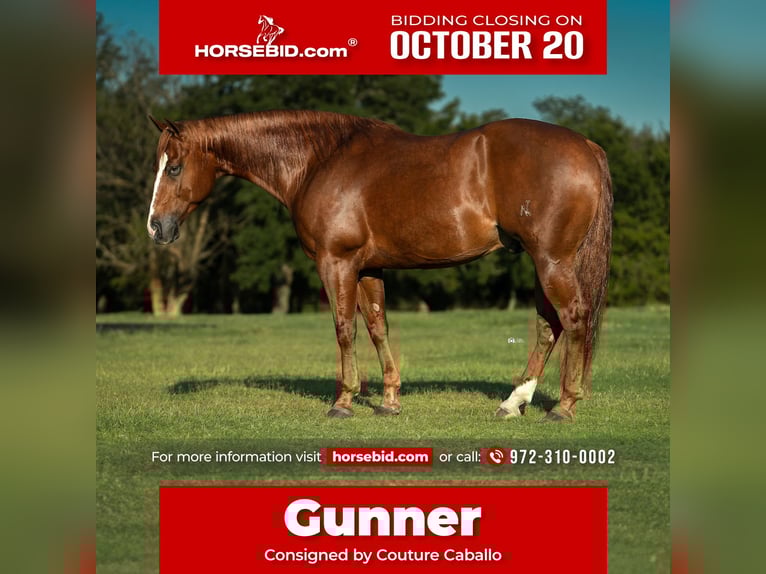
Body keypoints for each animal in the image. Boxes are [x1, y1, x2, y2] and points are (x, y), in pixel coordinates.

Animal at [147, 110, 612, 422]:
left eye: (174, 167)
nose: (155, 226)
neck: (320, 160)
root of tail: (586, 146)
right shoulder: (369, 268)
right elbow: (376, 327)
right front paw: (389, 401)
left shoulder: (336, 263)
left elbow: (344, 329)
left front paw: (344, 401)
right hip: (543, 263)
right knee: (549, 326)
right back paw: (513, 403)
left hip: (552, 261)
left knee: (572, 318)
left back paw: (564, 406)